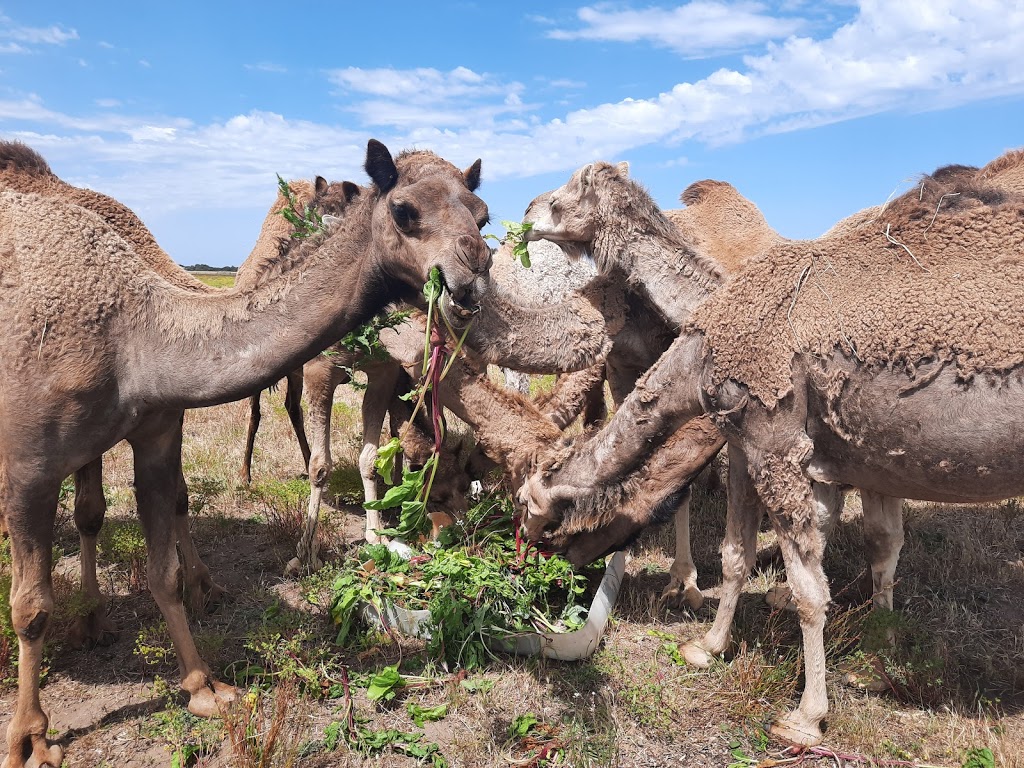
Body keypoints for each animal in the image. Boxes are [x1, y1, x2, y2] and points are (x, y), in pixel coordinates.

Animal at [0, 140, 497, 768]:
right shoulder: (28, 466)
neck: (133, 337)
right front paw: (30, 738)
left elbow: (163, 571)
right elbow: (32, 607)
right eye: (405, 210)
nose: (472, 278)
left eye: (483, 215)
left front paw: (204, 688)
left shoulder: (157, 434)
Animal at [524, 153, 1024, 749]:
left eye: (566, 194)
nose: (528, 212)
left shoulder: (785, 443)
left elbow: (818, 580)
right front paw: (710, 646)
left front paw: (808, 714)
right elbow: (750, 552)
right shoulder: (787, 448)